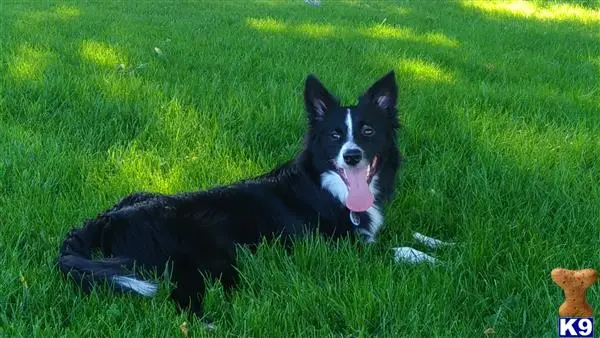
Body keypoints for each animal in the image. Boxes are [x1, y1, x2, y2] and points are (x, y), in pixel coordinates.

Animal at [57, 71, 404, 316]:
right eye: (334, 135)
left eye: (368, 131)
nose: (352, 156)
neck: (326, 187)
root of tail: (106, 219)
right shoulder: (339, 249)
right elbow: (393, 251)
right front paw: (418, 256)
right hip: (208, 259)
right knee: (179, 301)